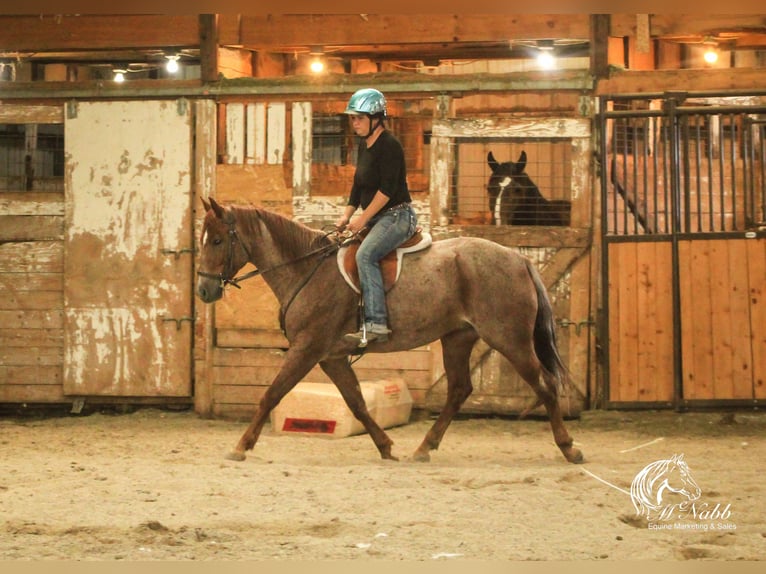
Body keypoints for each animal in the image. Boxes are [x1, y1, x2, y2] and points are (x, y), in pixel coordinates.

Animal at [195, 198, 584, 468]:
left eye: (217, 241)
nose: (204, 290)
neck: (307, 269)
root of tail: (520, 259)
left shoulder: (307, 349)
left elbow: (271, 394)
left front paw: (241, 446)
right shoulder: (332, 356)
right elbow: (356, 402)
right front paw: (386, 446)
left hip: (509, 339)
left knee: (546, 384)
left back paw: (569, 447)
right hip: (458, 337)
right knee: (459, 389)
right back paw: (423, 449)